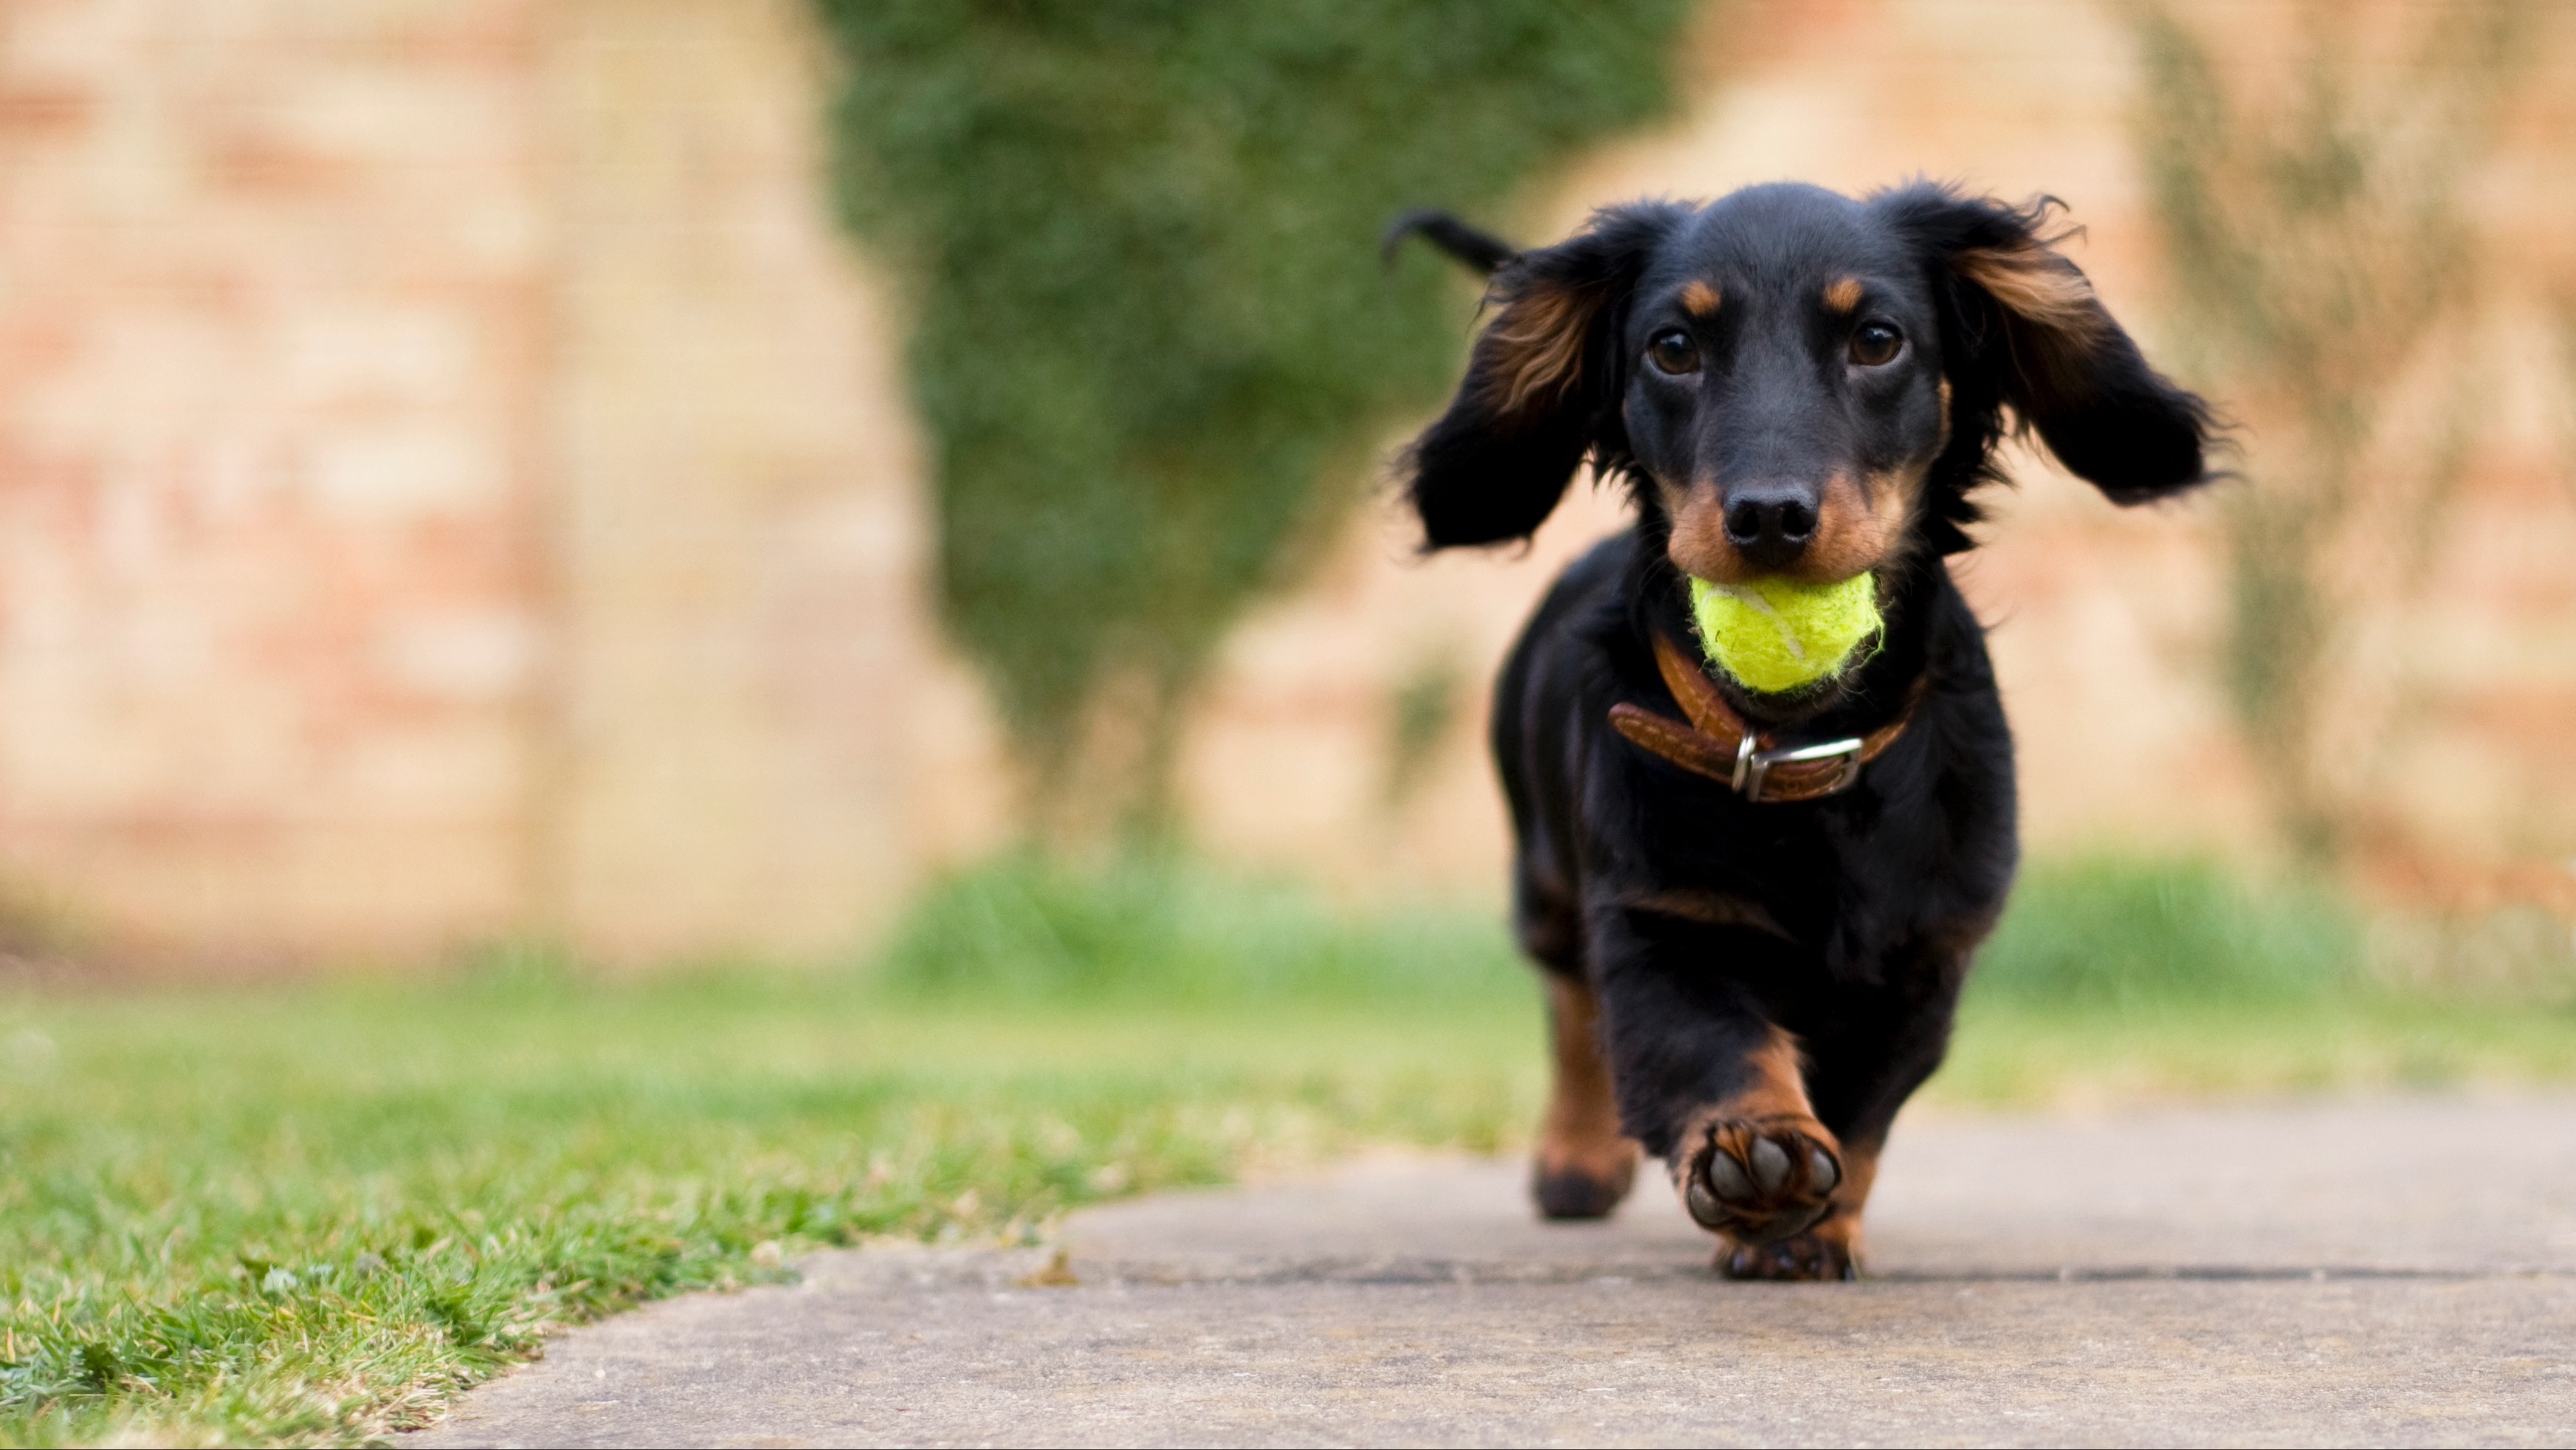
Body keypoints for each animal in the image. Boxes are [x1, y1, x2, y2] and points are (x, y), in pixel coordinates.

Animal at [1391, 184, 2215, 1282]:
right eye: (1672, 347)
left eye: (1876, 340)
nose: (1769, 517)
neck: (1796, 748)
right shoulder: (1660, 918)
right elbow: (1707, 1044)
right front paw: (1757, 1154)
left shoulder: (1922, 955)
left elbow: (1861, 1108)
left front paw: (1812, 1228)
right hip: (1545, 873)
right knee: (1571, 1005)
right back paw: (1576, 1158)